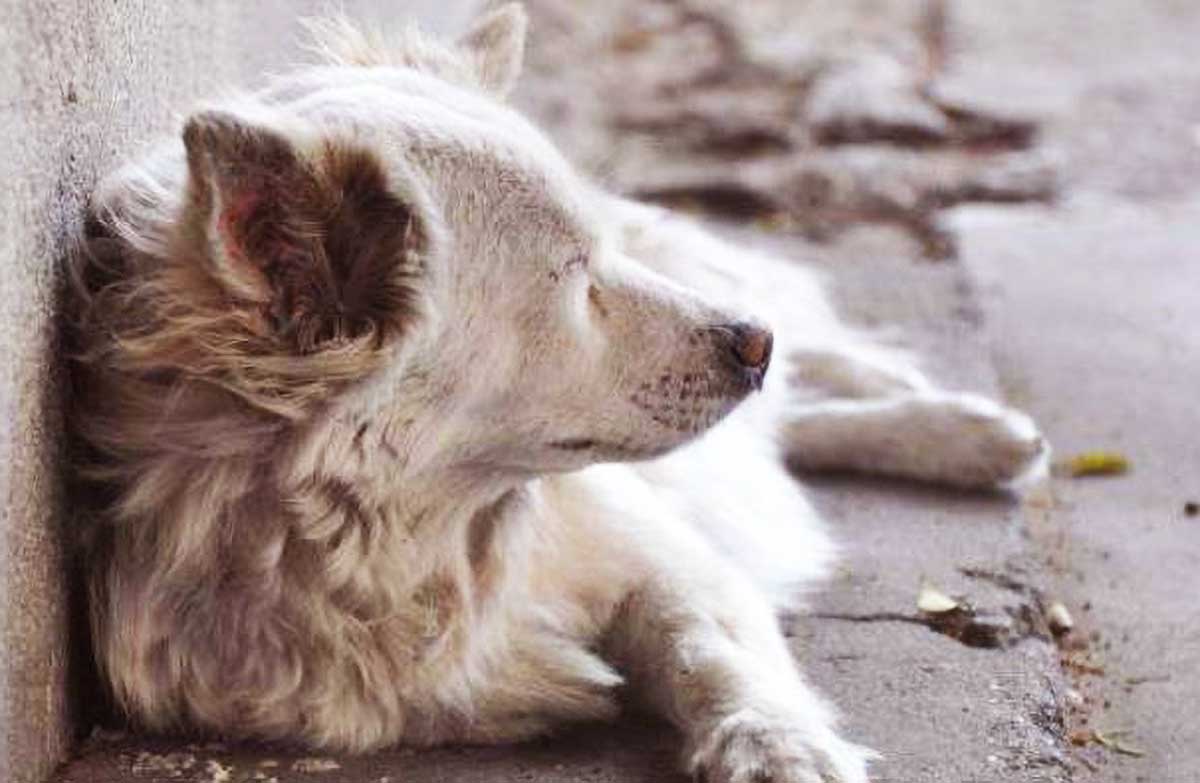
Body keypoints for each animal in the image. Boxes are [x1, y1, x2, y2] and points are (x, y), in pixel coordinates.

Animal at [68, 4, 1041, 778]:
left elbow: (711, 654)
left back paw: (958, 424)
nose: (754, 343)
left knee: (806, 393)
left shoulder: (666, 559)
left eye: (598, 252)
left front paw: (778, 745)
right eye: (576, 277)